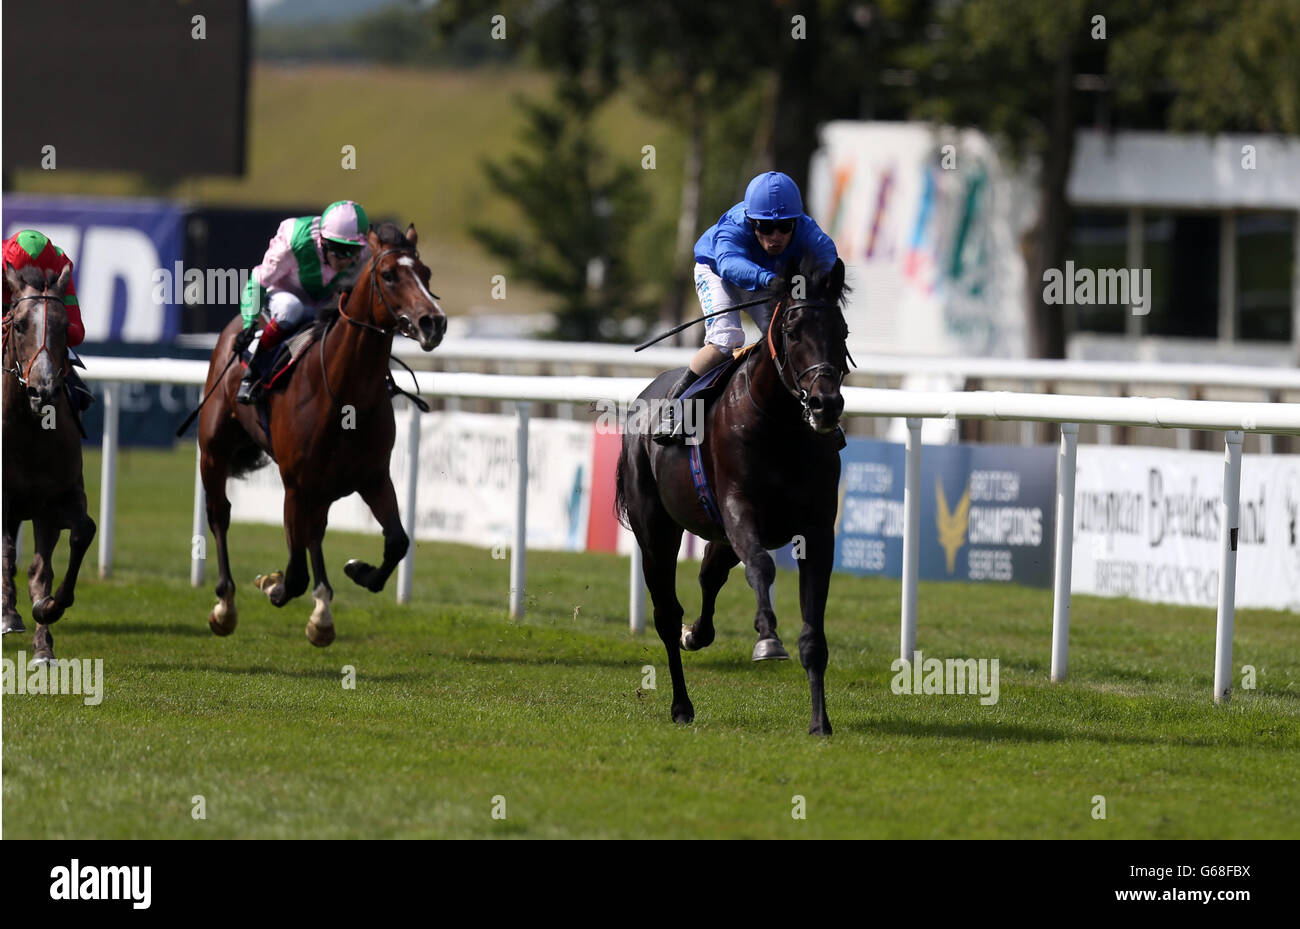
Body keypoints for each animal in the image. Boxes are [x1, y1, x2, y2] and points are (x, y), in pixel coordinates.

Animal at [197, 223, 447, 647]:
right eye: (389, 275)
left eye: (426, 273)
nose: (435, 322)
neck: (344, 396)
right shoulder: (295, 483)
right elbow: (295, 572)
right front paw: (273, 584)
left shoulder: (372, 477)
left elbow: (397, 541)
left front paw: (358, 572)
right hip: (213, 451)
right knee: (220, 515)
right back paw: (225, 606)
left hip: (324, 485)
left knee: (316, 531)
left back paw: (322, 607)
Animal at [618, 258, 852, 738]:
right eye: (793, 330)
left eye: (841, 331)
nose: (825, 404)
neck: (781, 426)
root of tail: (644, 397)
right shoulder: (739, 509)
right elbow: (761, 566)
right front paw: (767, 640)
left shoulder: (817, 530)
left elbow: (814, 633)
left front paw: (820, 722)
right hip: (656, 530)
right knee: (666, 613)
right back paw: (681, 704)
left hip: (719, 536)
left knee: (709, 575)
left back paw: (696, 633)